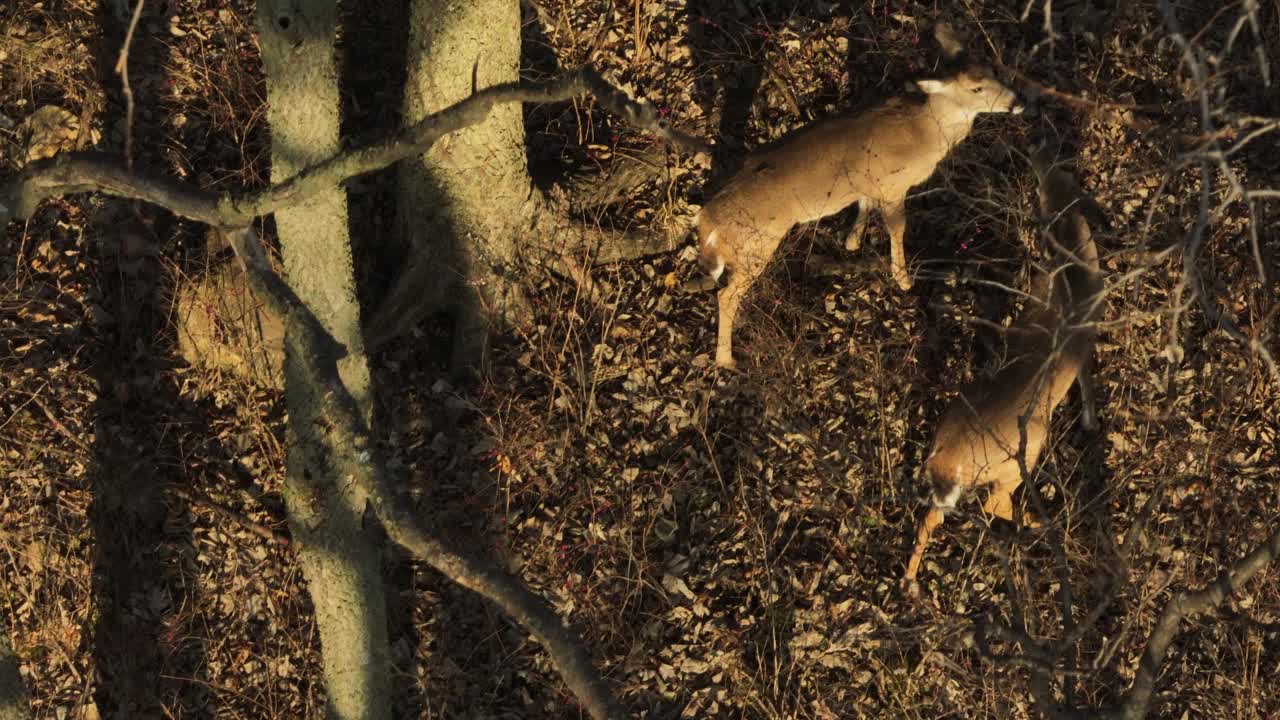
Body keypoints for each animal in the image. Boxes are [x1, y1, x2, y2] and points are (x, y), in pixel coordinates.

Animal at [696, 63, 1024, 366]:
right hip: (755, 246)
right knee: (726, 296)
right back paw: (726, 360)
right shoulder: (893, 185)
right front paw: (903, 278)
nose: (1017, 100)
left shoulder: (869, 182)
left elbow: (864, 205)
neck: (923, 133)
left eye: (995, 71)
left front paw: (852, 241)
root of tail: (707, 222)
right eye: (976, 88)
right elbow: (897, 228)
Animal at [901, 141, 1111, 589]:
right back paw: (1043, 523)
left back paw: (909, 581)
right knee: (994, 504)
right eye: (1061, 178)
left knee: (931, 517)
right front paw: (1089, 422)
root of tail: (945, 459)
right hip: (1019, 457)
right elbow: (1086, 379)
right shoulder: (1084, 341)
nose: (1038, 150)